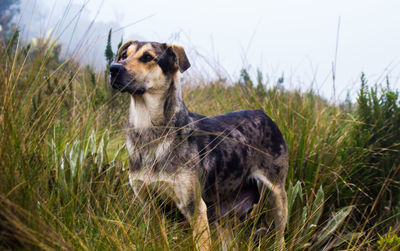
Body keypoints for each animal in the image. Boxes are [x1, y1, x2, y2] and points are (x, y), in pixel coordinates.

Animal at [110, 40, 288, 250]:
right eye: (123, 55)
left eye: (147, 57)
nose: (113, 68)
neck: (149, 133)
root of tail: (265, 114)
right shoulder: (149, 205)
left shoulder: (194, 207)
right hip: (224, 212)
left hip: (277, 196)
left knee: (280, 237)